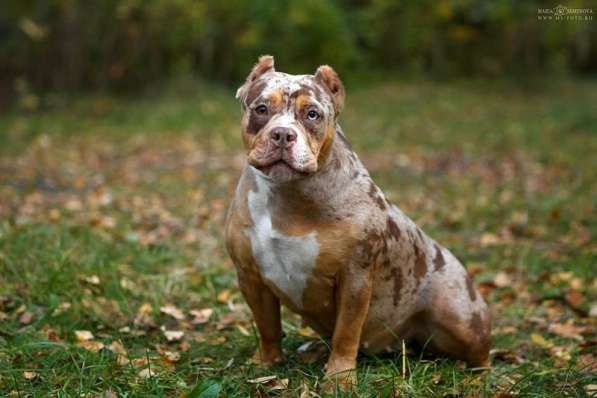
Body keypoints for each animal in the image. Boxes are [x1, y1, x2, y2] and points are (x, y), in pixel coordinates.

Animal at [224, 55, 488, 388]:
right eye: (261, 109)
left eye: (312, 114)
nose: (283, 134)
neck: (286, 192)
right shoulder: (250, 276)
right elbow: (267, 325)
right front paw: (266, 362)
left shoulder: (355, 277)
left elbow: (346, 332)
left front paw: (339, 378)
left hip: (461, 318)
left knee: (479, 352)